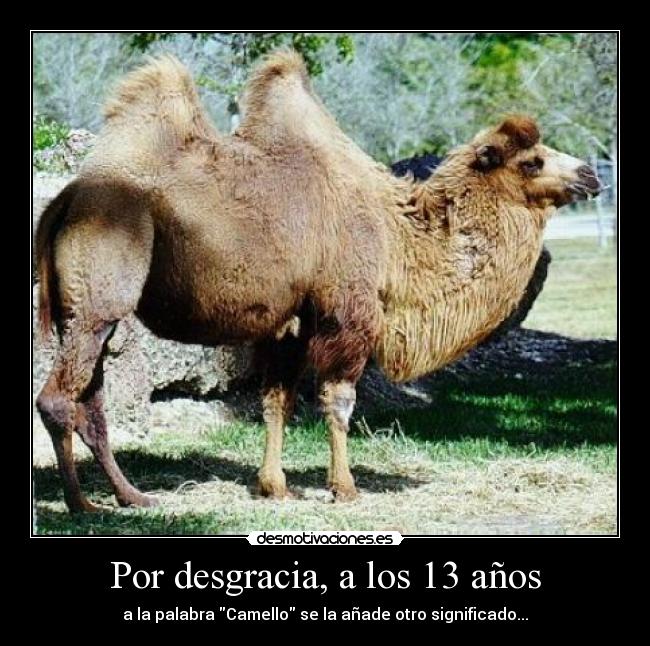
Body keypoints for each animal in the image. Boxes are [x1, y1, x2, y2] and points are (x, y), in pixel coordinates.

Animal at [35, 52, 600, 512]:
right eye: (533, 160)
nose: (591, 175)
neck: (397, 237)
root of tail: (67, 198)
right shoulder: (346, 310)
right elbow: (338, 400)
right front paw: (344, 488)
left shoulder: (290, 320)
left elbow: (276, 400)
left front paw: (273, 486)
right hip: (101, 290)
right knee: (60, 398)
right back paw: (82, 504)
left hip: (83, 310)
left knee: (91, 401)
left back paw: (133, 496)